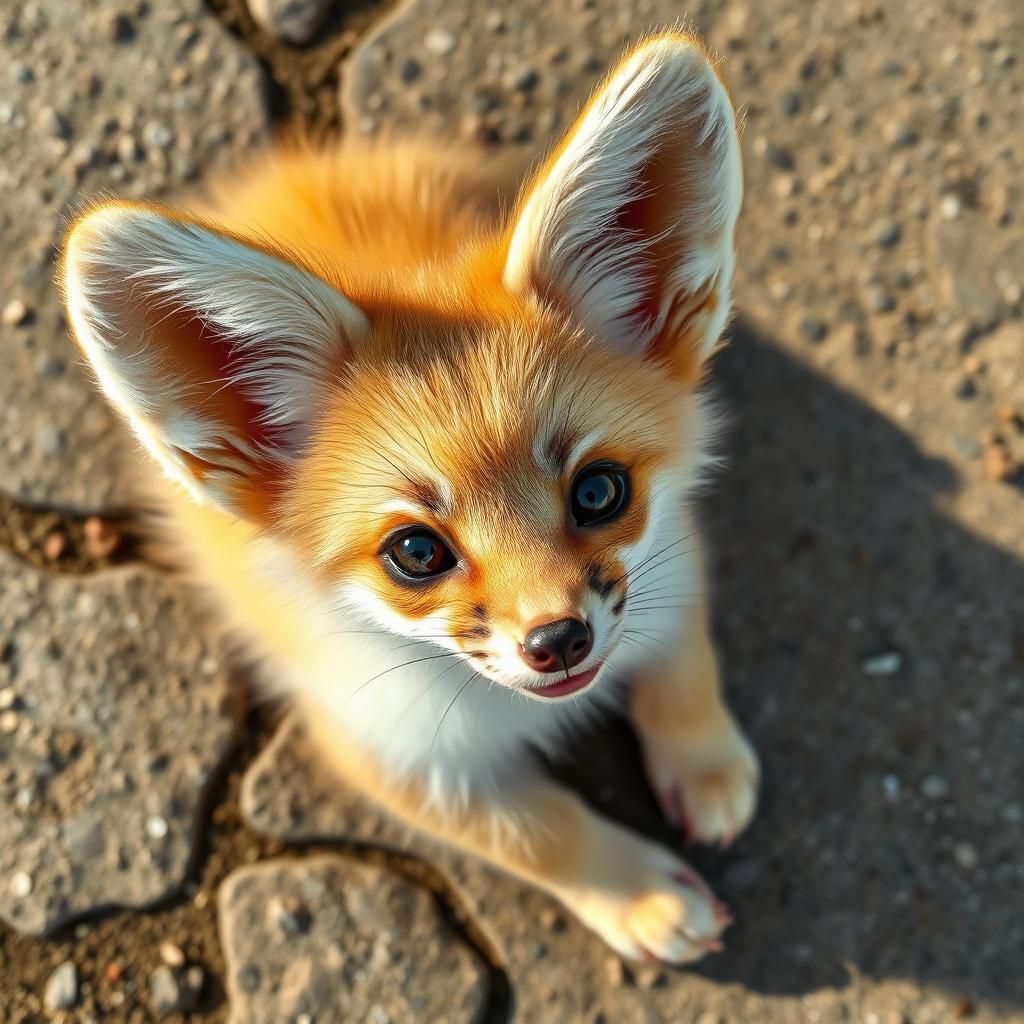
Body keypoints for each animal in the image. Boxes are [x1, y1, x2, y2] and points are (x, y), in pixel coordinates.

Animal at [60, 31, 759, 963]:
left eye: (600, 491)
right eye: (417, 551)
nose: (559, 641)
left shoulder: (669, 563)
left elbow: (683, 669)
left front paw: (706, 766)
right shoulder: (387, 752)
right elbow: (542, 833)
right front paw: (643, 895)